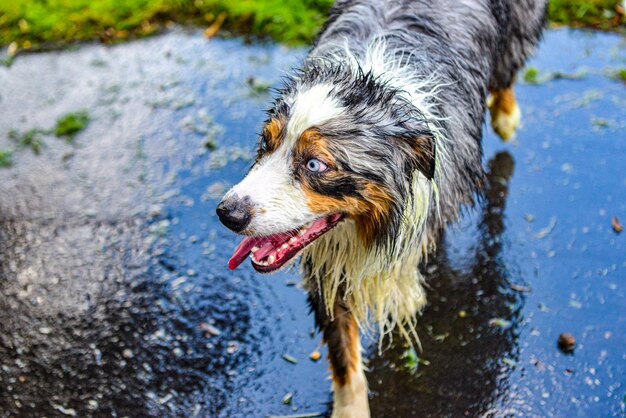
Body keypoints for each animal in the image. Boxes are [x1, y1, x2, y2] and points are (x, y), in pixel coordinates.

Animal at [217, 1, 544, 416]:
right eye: (266, 143)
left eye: (314, 164)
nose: (227, 213)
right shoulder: (329, 264)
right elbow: (343, 354)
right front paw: (350, 407)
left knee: (508, 68)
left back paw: (505, 116)